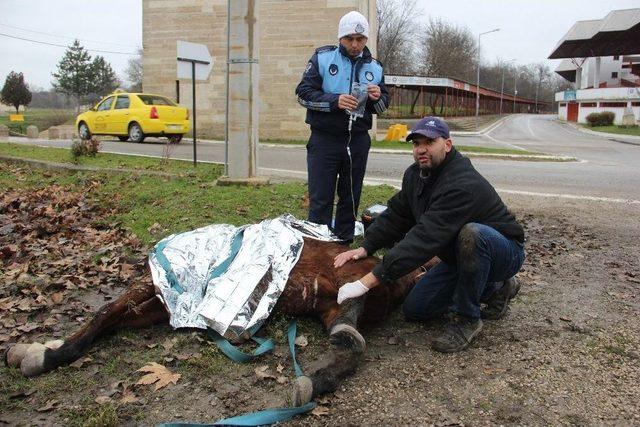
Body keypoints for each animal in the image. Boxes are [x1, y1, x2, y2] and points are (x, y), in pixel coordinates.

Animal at [5, 239, 432, 406]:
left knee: (352, 340)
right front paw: (42, 352)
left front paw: (41, 354)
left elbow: (106, 311)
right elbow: (113, 317)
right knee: (351, 340)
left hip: (345, 290)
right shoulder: (162, 303)